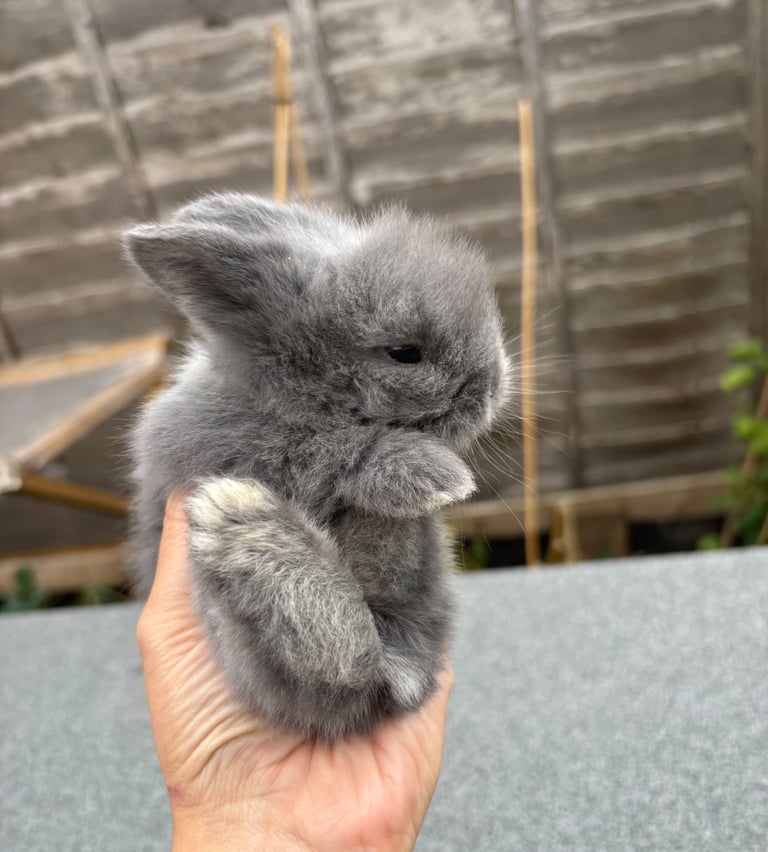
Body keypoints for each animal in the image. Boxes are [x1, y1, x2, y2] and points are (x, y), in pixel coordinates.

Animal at [124, 192, 509, 740]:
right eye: (404, 353)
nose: (493, 389)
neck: (291, 389)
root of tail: (406, 677)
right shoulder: (237, 447)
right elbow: (335, 446)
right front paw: (437, 476)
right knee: (343, 662)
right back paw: (241, 522)